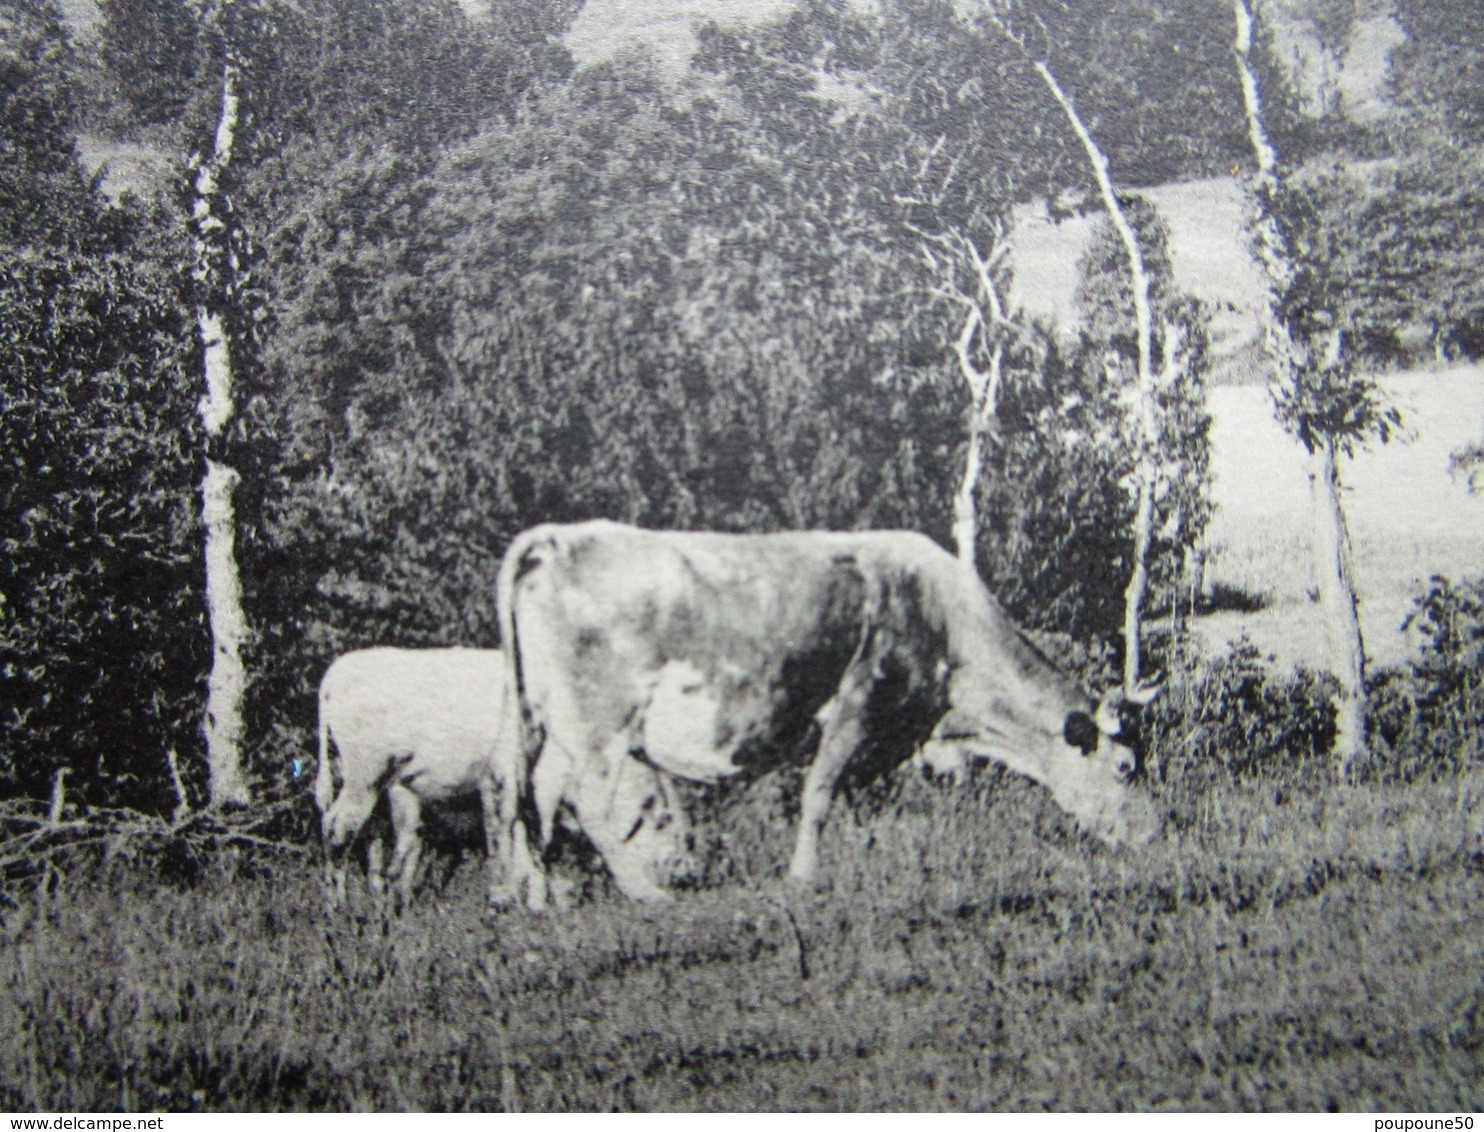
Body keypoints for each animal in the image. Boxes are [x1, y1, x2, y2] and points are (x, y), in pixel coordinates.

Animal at [492, 522, 1163, 913]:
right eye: (1125, 767)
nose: (1155, 833)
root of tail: (557, 537)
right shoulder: (857, 704)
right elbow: (818, 794)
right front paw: (804, 877)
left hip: (549, 721)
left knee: (534, 797)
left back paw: (538, 897)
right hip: (600, 722)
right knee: (584, 802)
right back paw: (642, 890)